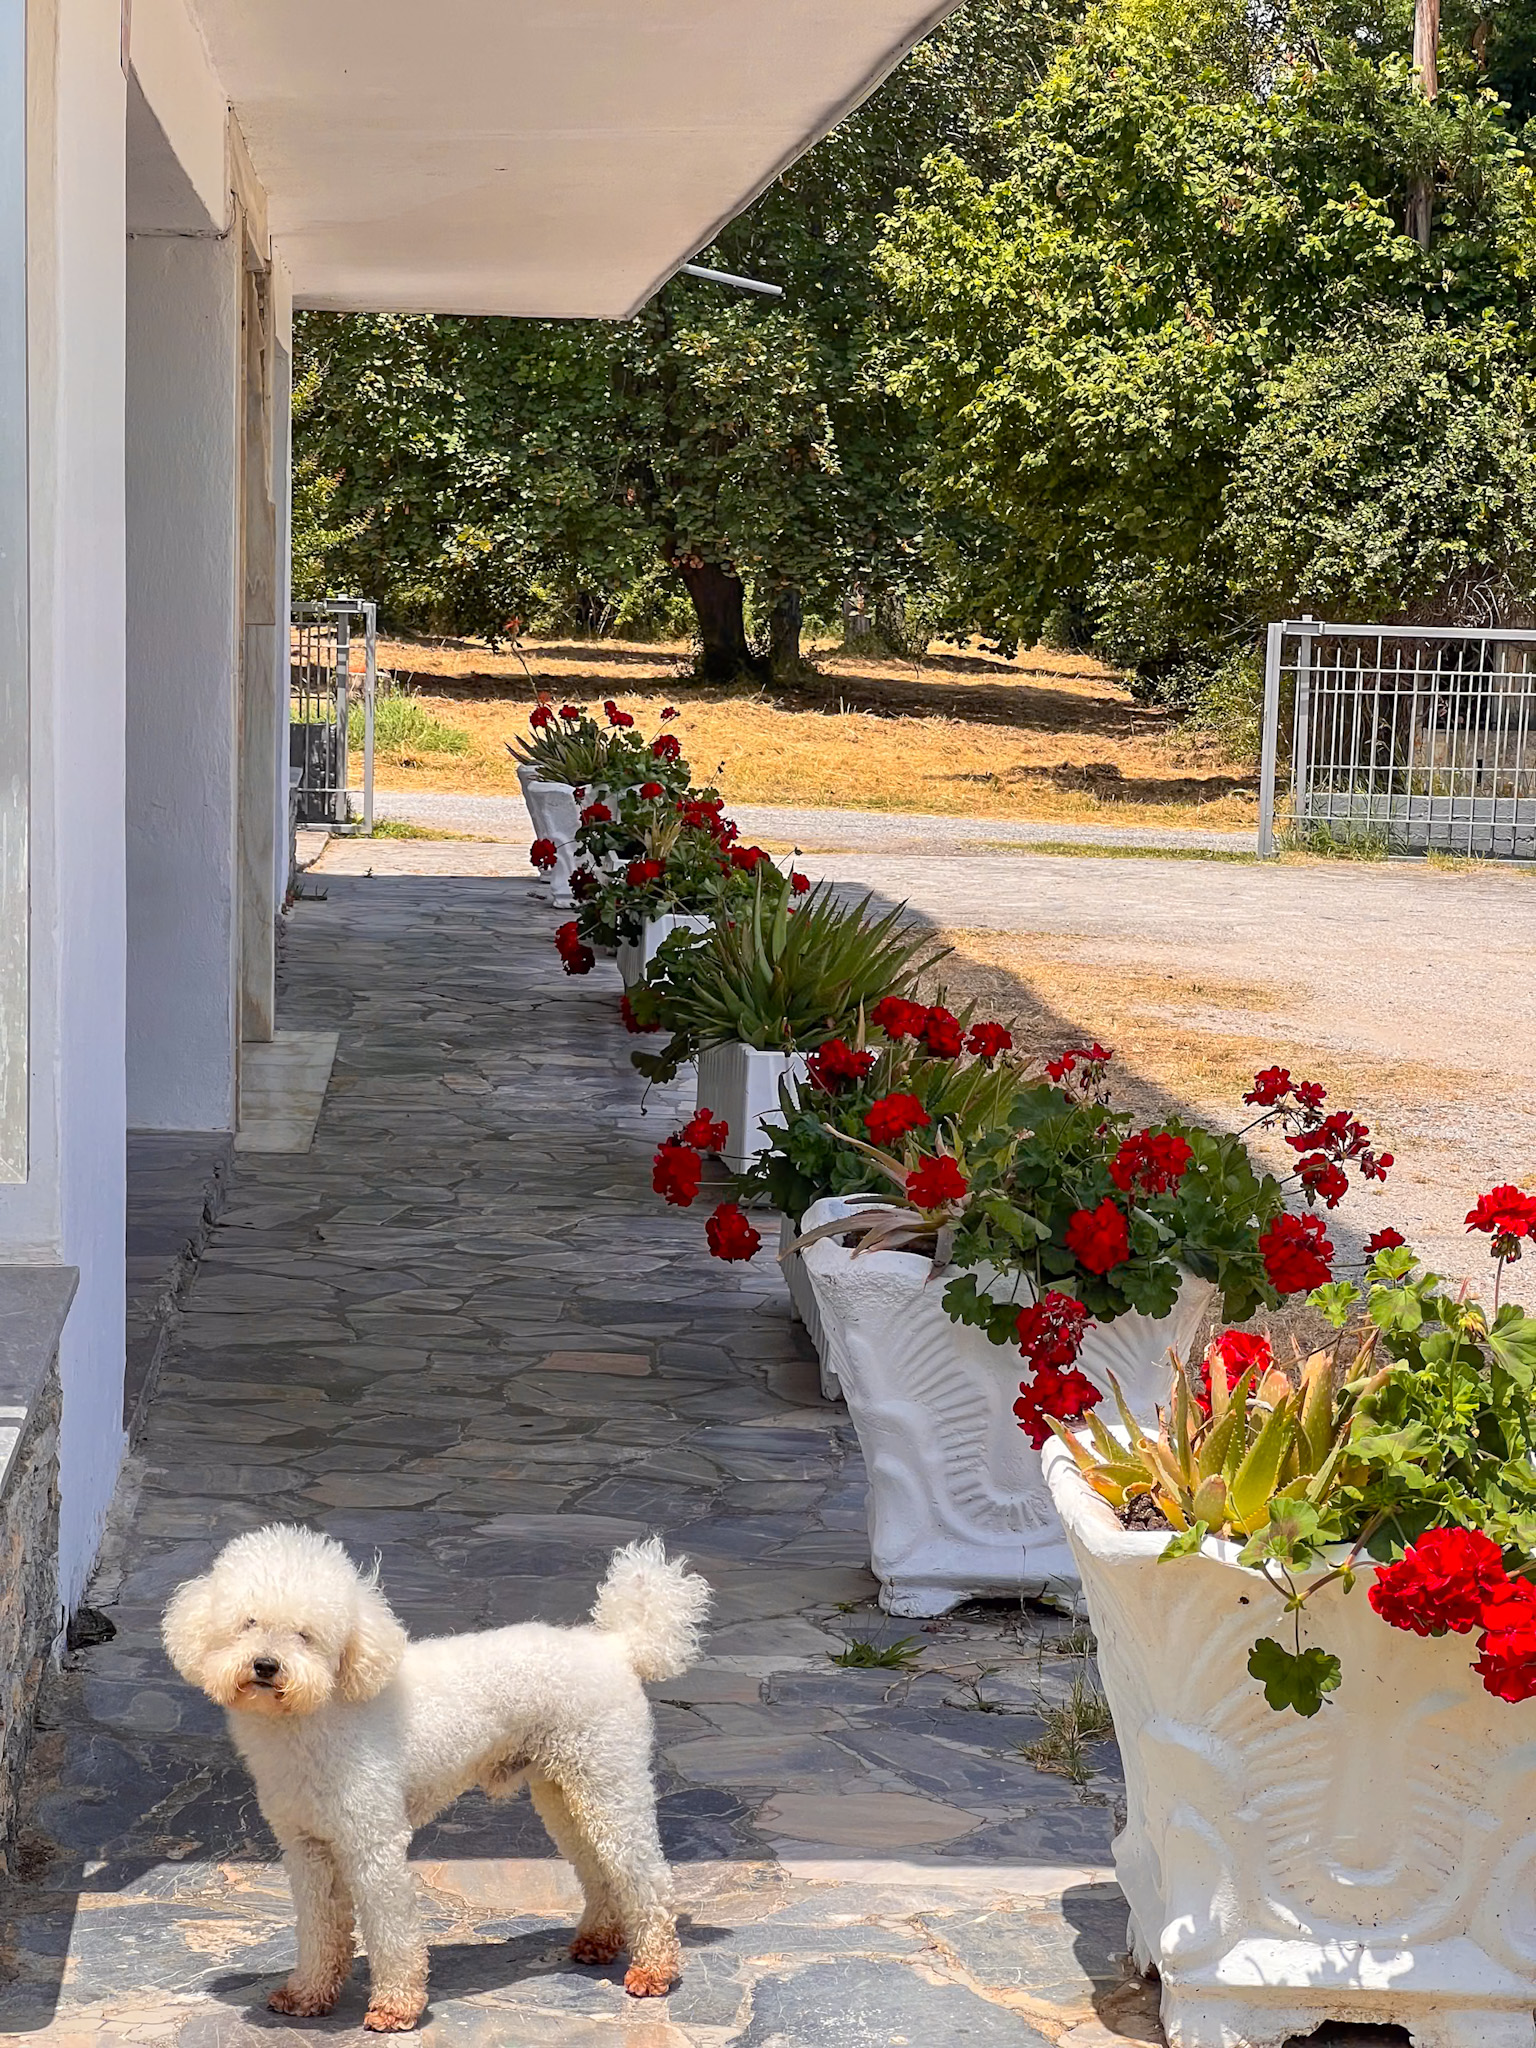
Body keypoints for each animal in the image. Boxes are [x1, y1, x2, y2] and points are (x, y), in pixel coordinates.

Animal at [159, 1523, 712, 2031]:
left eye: (305, 1635)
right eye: (248, 1623)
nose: (266, 1665)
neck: (316, 1711)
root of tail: (617, 1647)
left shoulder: (373, 1842)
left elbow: (391, 1928)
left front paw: (396, 2007)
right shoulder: (307, 1846)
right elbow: (318, 1927)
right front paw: (307, 1994)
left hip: (607, 1782)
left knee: (645, 1878)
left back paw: (655, 1970)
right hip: (565, 1794)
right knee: (599, 1870)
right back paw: (599, 1940)